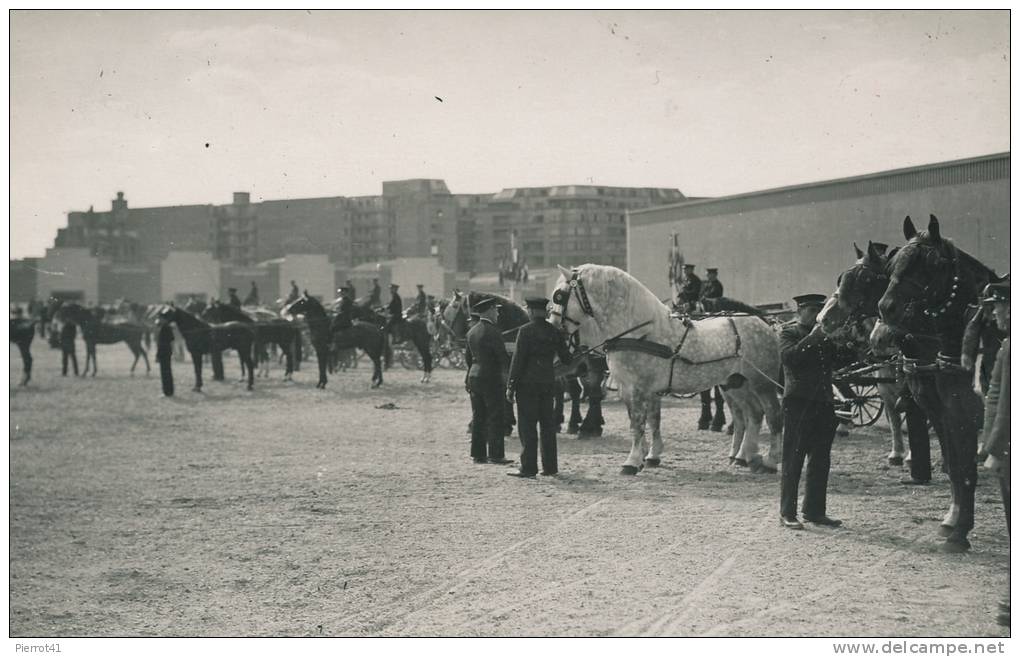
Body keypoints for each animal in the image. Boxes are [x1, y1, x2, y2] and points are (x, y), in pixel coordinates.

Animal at [550, 265, 779, 475]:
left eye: (559, 296)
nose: (553, 329)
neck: (641, 333)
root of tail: (765, 324)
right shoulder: (637, 389)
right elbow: (650, 420)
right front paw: (649, 456)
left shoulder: (638, 387)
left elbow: (638, 423)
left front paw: (632, 462)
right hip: (736, 384)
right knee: (753, 415)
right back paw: (744, 456)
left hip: (763, 383)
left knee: (771, 415)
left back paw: (770, 461)